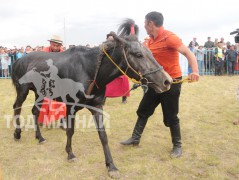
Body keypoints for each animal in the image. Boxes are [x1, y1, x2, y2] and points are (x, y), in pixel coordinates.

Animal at [11, 19, 172, 178]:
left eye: (150, 52)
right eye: (138, 54)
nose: (167, 81)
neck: (90, 71)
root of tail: (19, 60)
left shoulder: (97, 106)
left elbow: (103, 135)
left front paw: (111, 166)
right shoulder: (70, 106)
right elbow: (70, 130)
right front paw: (70, 153)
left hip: (40, 93)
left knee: (35, 111)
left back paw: (39, 137)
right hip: (23, 90)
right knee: (17, 107)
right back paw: (17, 133)